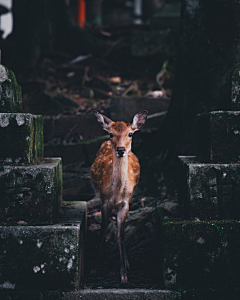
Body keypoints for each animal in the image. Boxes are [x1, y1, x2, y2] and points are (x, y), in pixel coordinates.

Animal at [90, 109, 148, 284]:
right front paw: (93, 269)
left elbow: (121, 235)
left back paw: (127, 262)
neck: (115, 195)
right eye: (111, 134)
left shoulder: (125, 204)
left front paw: (123, 274)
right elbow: (103, 231)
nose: (121, 149)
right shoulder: (104, 201)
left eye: (130, 133)